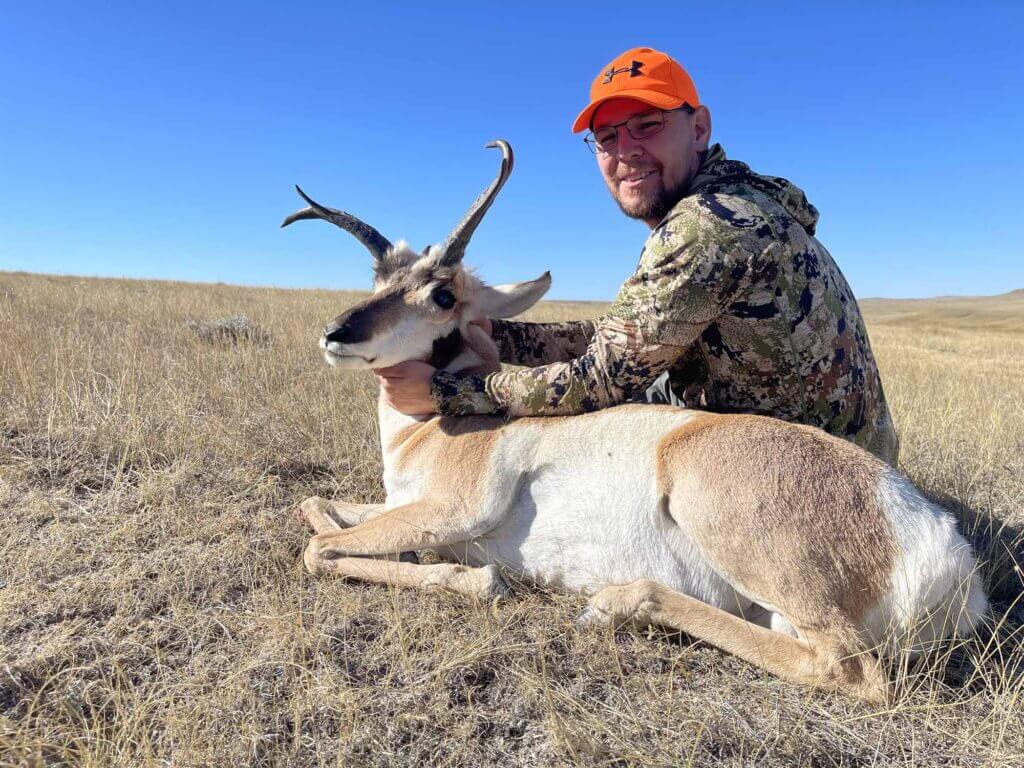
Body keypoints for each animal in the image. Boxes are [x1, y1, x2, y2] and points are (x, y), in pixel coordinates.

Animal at [282, 140, 988, 703]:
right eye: (379, 277)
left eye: (443, 293)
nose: (336, 333)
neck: (424, 430)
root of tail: (938, 542)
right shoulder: (396, 504)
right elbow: (316, 507)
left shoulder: (451, 509)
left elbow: (321, 550)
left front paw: (474, 577)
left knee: (849, 669)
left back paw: (612, 603)